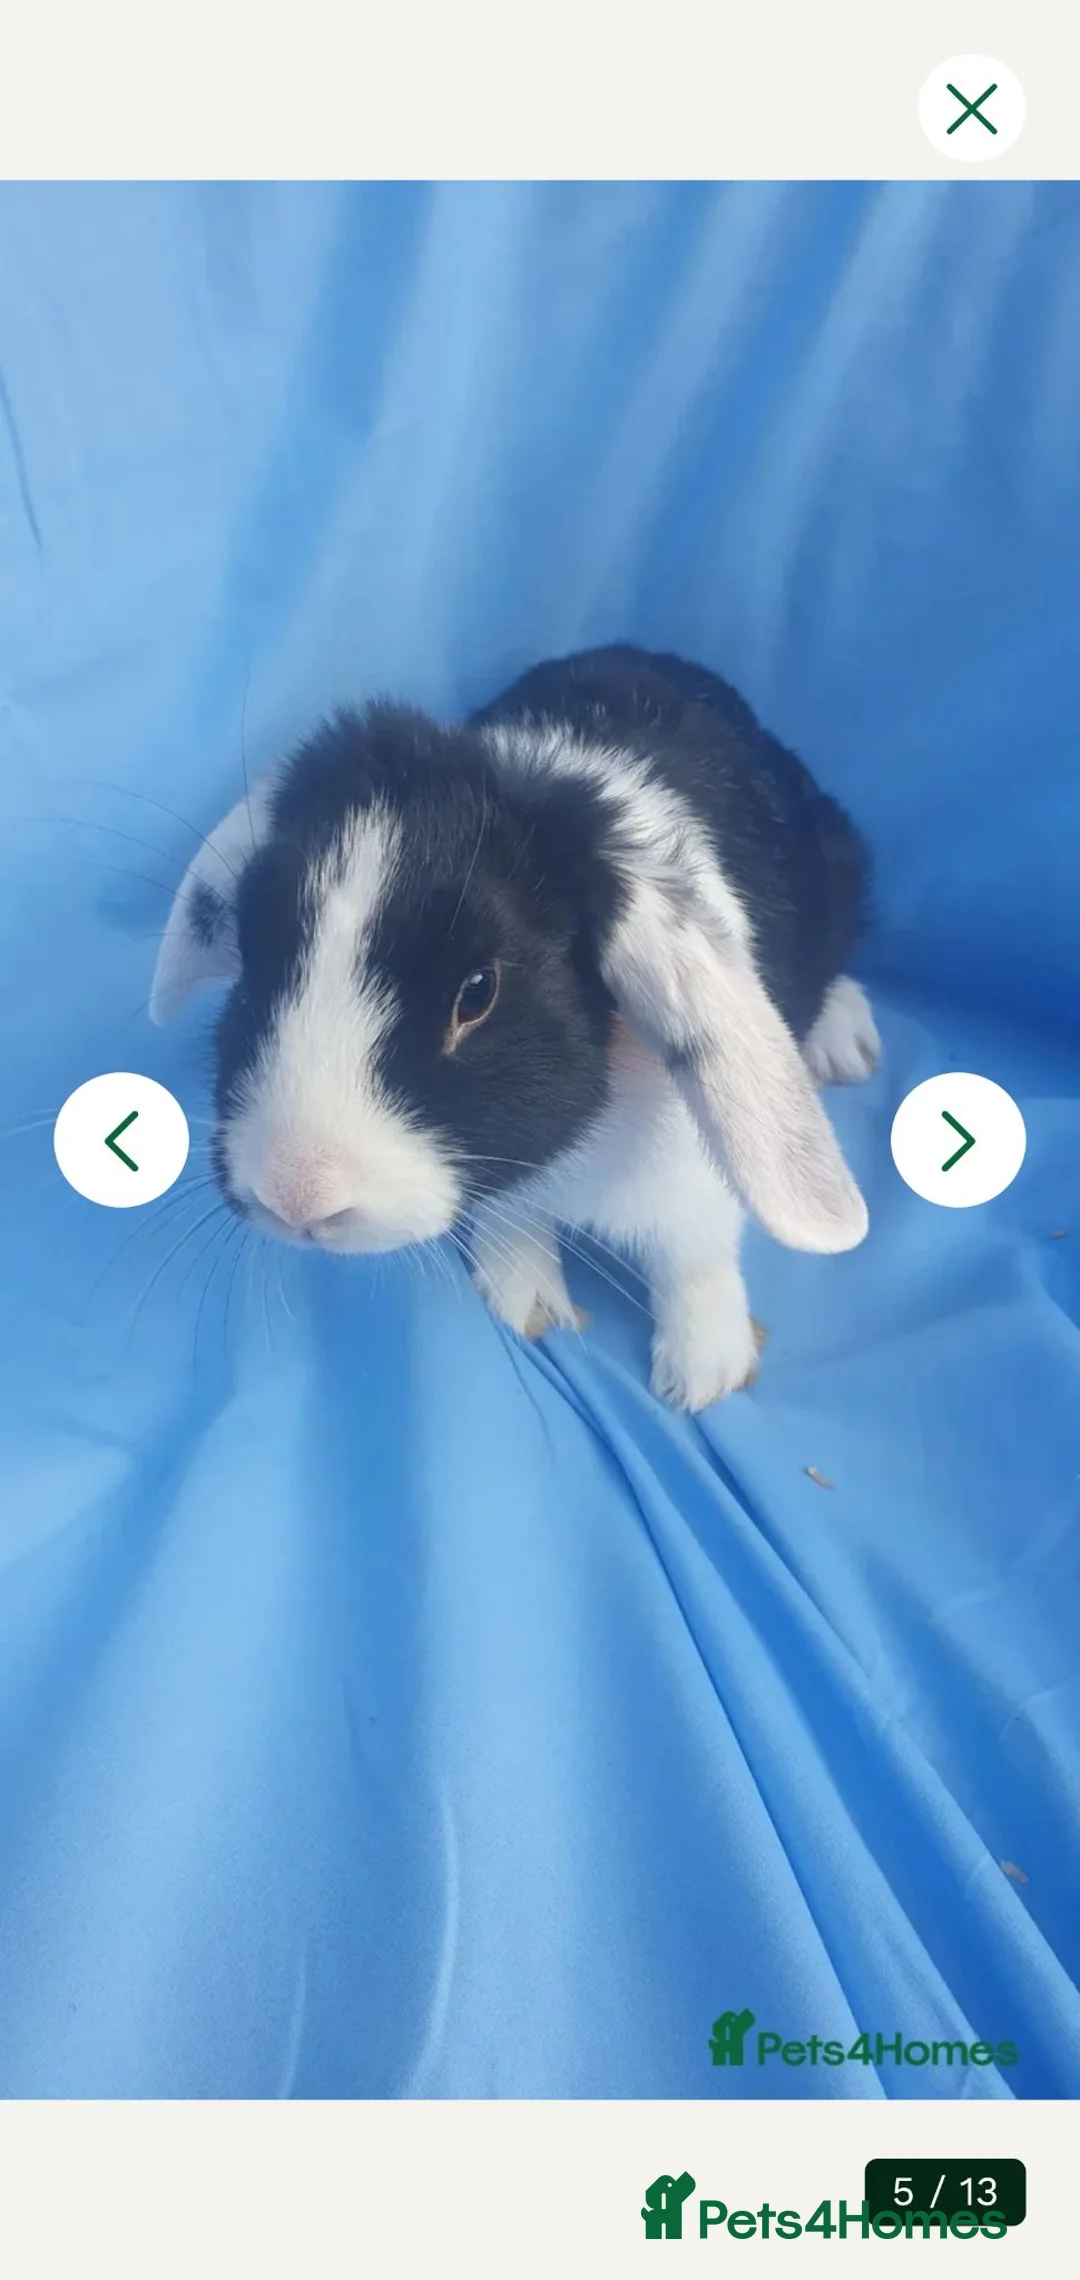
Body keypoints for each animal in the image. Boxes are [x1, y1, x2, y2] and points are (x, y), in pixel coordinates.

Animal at [151, 645, 879, 1410]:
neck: (564, 1156)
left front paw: (704, 1374)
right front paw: (524, 1299)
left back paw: (845, 1042)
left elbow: (696, 1263)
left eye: (478, 992)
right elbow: (514, 1224)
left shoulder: (695, 1191)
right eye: (254, 954)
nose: (297, 1197)